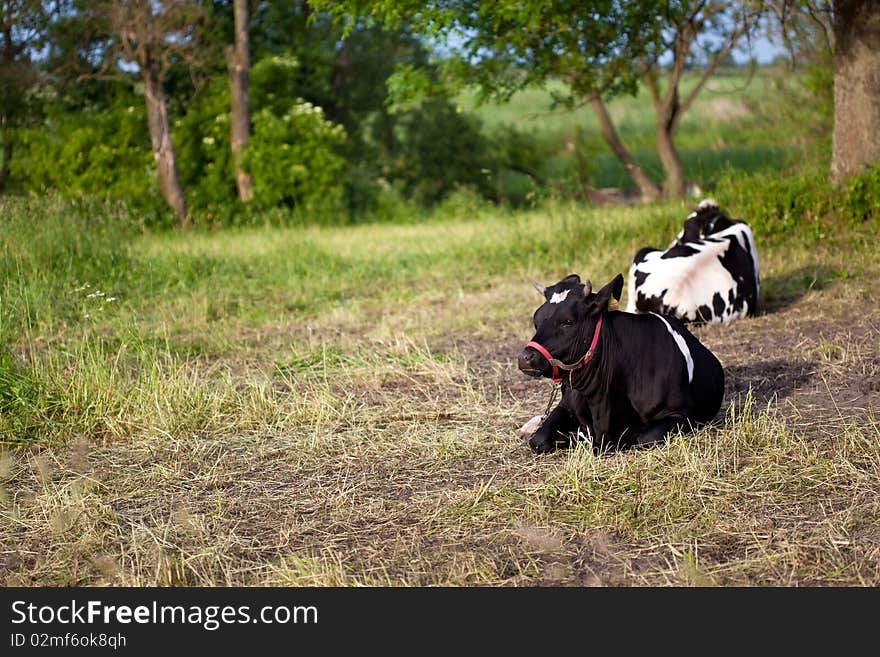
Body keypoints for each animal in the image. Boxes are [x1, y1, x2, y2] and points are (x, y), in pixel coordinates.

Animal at [516, 270, 720, 452]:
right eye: (536, 320)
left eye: (567, 321)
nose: (525, 358)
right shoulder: (566, 405)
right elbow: (539, 439)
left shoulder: (680, 414)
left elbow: (645, 437)